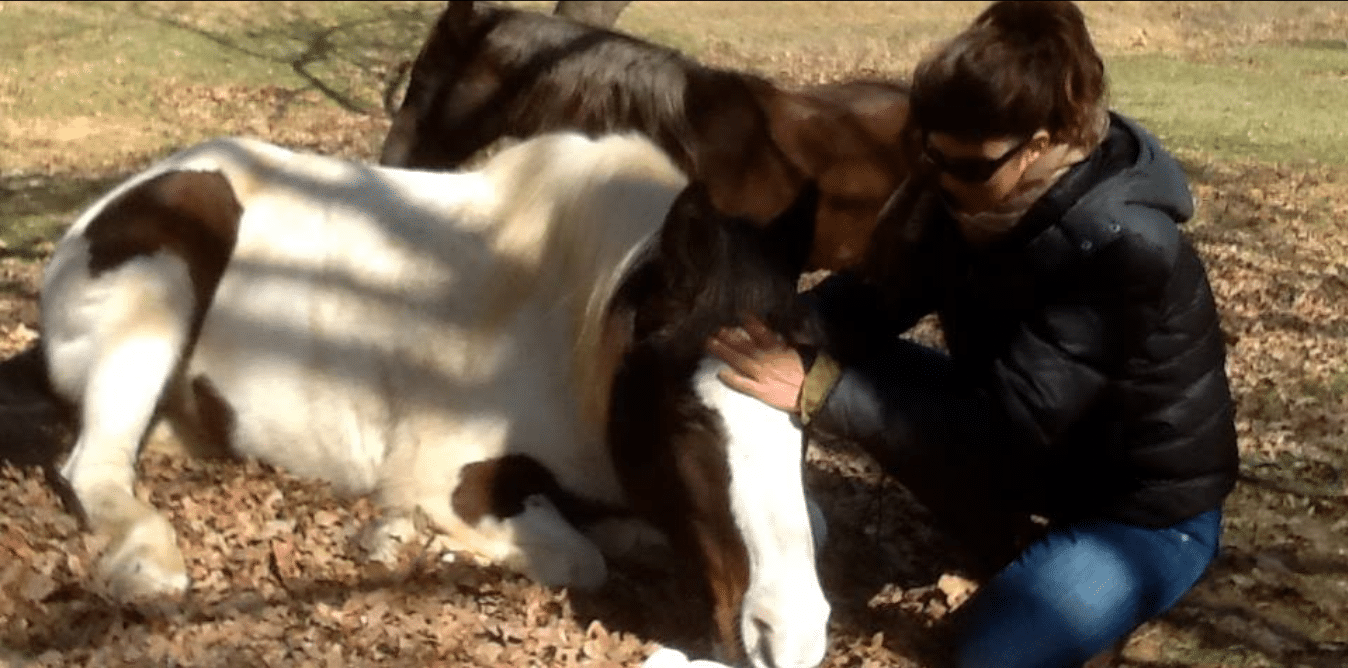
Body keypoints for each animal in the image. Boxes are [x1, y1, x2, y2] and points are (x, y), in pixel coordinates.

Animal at [36, 130, 830, 668]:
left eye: (804, 414)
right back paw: (148, 560)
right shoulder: (448, 474)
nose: (787, 637)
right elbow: (578, 559)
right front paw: (409, 541)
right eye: (691, 415)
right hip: (159, 290)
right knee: (95, 468)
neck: (566, 322)